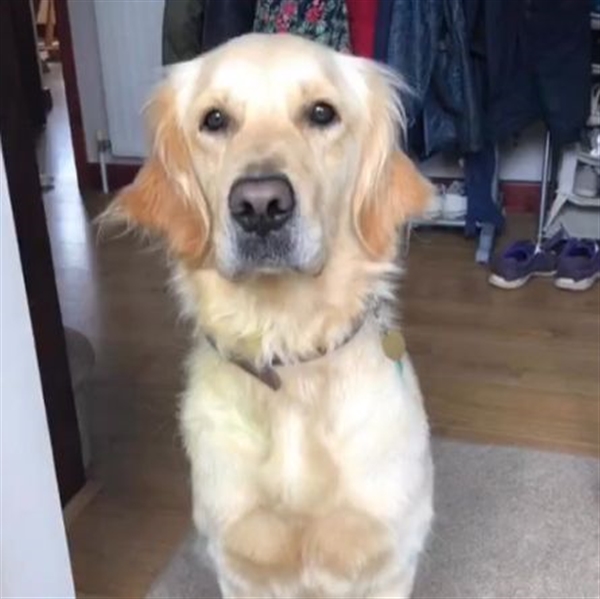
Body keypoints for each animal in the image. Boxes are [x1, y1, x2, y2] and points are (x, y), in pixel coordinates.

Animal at [109, 34, 432, 599]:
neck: (290, 351)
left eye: (322, 112)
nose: (260, 205)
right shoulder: (241, 561)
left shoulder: (389, 557)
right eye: (214, 120)